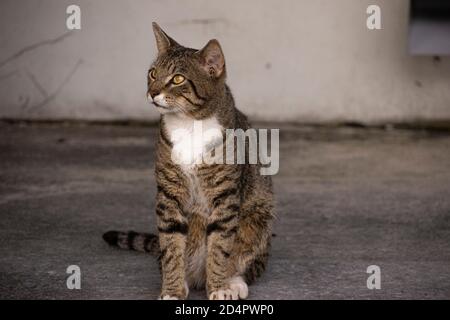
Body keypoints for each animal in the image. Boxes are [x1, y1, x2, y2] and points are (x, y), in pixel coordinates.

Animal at [104, 22, 274, 300]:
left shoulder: (225, 196)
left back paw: (233, 282)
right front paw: (172, 290)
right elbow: (172, 246)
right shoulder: (169, 194)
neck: (189, 123)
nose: (152, 93)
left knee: (247, 258)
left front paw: (218, 287)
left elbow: (220, 246)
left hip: (259, 217)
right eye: (152, 73)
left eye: (177, 79)